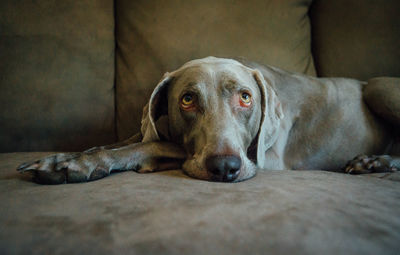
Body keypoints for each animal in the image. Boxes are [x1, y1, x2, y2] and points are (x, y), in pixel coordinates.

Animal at [17, 57, 398, 183]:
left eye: (245, 97)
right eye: (187, 100)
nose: (226, 167)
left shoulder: (266, 158)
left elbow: (152, 145)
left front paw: (76, 163)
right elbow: (130, 140)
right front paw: (69, 157)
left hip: (380, 86)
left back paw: (374, 161)